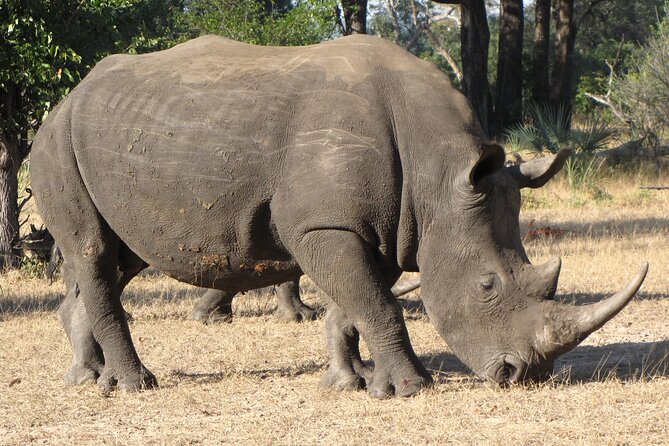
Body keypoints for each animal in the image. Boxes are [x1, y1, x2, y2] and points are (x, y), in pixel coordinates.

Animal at [30, 35, 647, 397]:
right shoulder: (329, 225)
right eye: (487, 286)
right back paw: (136, 386)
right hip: (56, 142)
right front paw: (412, 388)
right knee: (92, 250)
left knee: (118, 258)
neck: (438, 174)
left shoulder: (390, 224)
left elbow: (357, 303)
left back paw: (87, 378)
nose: (525, 376)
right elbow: (377, 303)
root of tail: (66, 97)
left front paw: (352, 382)